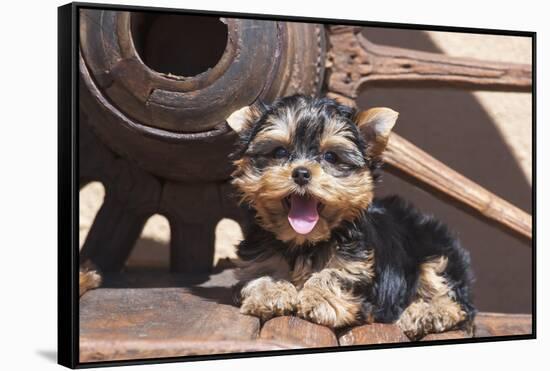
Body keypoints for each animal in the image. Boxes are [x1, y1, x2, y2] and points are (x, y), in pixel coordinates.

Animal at [226, 95, 476, 340]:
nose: (301, 173)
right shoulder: (258, 258)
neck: (304, 242)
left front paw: (320, 299)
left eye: (330, 156)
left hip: (436, 252)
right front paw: (272, 292)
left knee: (456, 302)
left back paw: (427, 313)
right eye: (279, 152)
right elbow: (263, 272)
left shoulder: (360, 271)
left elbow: (334, 274)